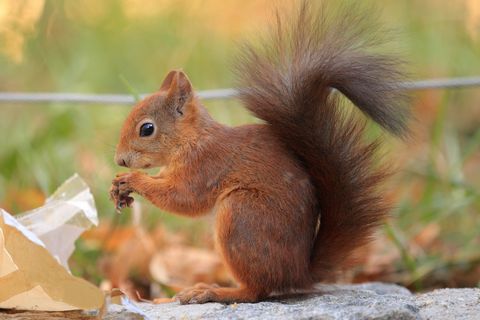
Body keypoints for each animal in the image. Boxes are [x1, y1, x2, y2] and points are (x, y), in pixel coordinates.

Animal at [110, 1, 410, 304]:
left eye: (147, 129)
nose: (120, 160)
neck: (191, 140)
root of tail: (299, 273)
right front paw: (118, 186)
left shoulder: (207, 165)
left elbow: (184, 199)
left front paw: (133, 180)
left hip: (242, 215)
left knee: (256, 290)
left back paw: (212, 291)